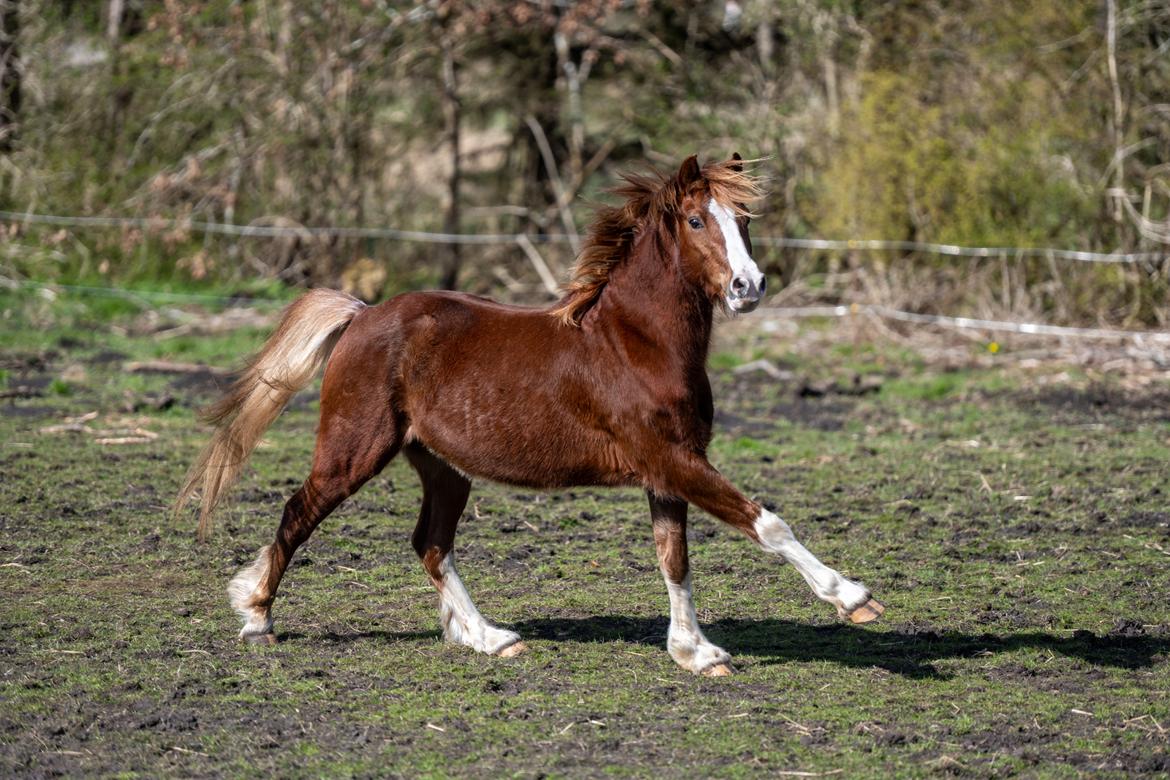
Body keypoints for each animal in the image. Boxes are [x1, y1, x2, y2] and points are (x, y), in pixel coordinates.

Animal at [175, 153, 884, 676]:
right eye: (694, 220)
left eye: (744, 217)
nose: (748, 287)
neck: (635, 343)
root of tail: (362, 314)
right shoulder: (674, 461)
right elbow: (767, 524)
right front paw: (854, 599)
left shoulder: (668, 470)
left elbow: (674, 560)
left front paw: (695, 653)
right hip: (354, 450)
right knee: (299, 511)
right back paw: (258, 618)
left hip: (443, 467)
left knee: (431, 543)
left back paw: (490, 638)